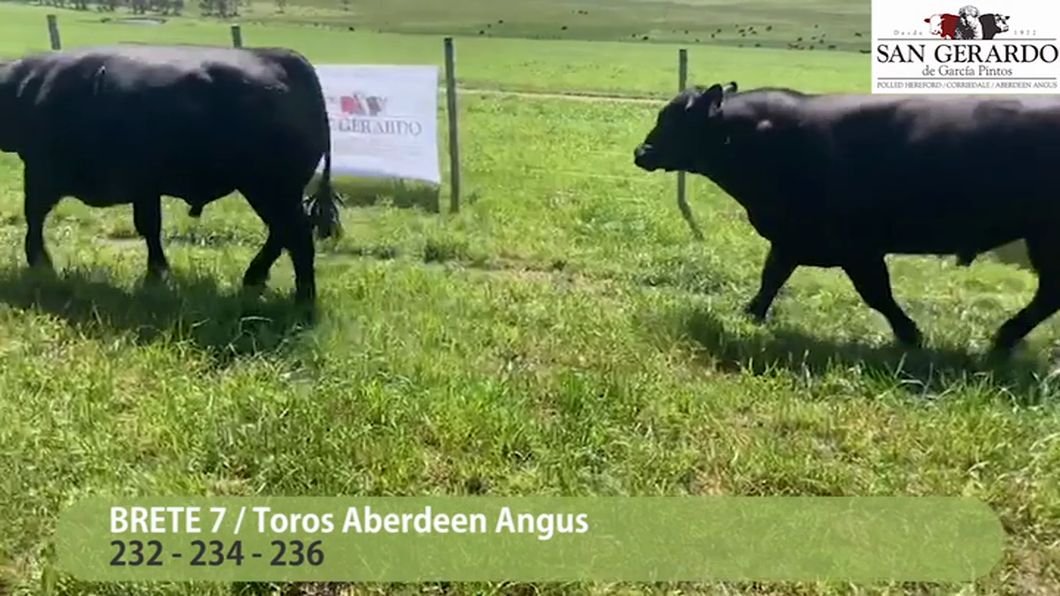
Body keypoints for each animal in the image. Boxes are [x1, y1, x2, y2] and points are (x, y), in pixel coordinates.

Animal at [0, 44, 343, 303]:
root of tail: (280, 56)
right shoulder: (144, 186)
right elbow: (150, 227)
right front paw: (157, 274)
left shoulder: (42, 170)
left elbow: (34, 216)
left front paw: (39, 263)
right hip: (274, 190)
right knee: (283, 232)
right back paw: (255, 279)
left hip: (270, 187)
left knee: (296, 234)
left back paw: (303, 297)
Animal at [631, 81, 1060, 354]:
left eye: (674, 119)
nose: (641, 152)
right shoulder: (791, 240)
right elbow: (771, 278)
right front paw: (750, 314)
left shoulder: (858, 249)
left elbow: (878, 294)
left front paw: (910, 335)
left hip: (1045, 236)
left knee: (1049, 294)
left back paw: (1004, 337)